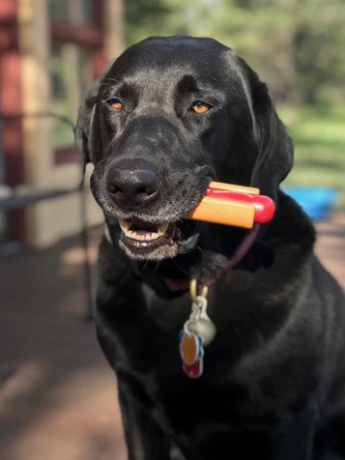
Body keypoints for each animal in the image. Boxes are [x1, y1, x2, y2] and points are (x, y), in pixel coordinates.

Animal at [75, 36, 344, 460]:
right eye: (114, 104)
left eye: (200, 106)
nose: (130, 185)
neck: (189, 280)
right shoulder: (134, 403)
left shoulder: (289, 423)